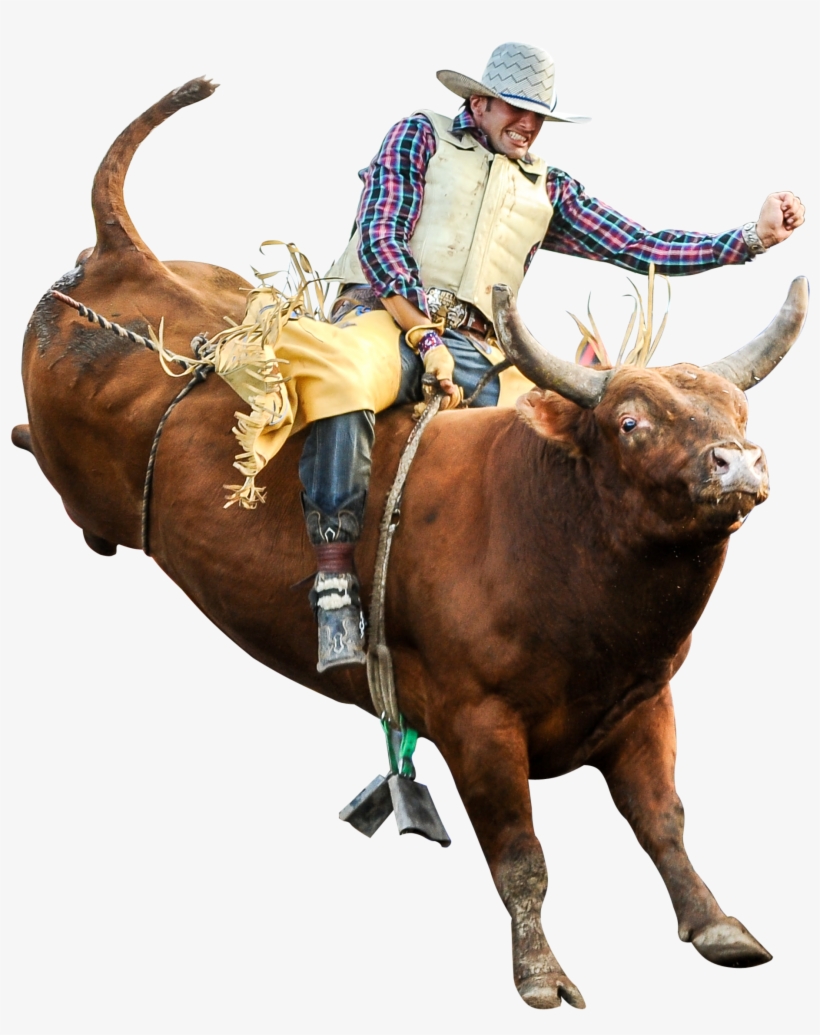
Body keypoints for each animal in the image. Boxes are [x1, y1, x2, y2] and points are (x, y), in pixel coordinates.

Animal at [12, 78, 809, 1011]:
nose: (739, 462)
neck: (555, 539)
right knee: (39, 454)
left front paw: (719, 925)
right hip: (70, 466)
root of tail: (125, 259)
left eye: (739, 411)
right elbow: (522, 855)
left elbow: (665, 822)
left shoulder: (645, 704)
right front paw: (542, 973)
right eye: (630, 421)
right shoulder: (476, 724)